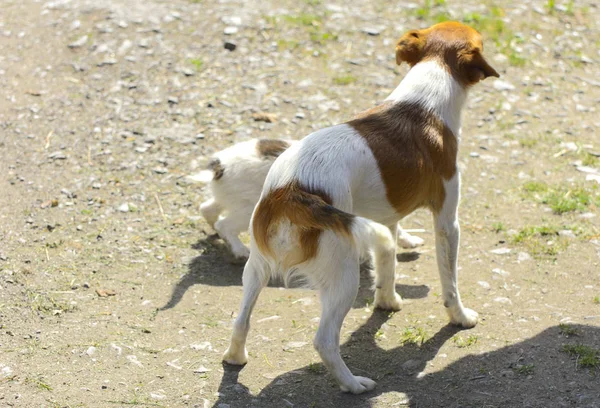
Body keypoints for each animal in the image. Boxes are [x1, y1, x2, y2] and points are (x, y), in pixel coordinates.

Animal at [195, 137, 424, 258]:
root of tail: (221, 165)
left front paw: (408, 241)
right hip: (248, 209)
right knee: (224, 224)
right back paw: (240, 250)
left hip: (230, 199)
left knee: (207, 209)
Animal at [223, 21, 500, 392]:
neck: (425, 100)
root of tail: (291, 192)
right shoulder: (446, 222)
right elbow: (450, 282)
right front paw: (460, 317)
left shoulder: (388, 220)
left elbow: (387, 265)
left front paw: (387, 302)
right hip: (343, 275)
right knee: (324, 341)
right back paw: (353, 384)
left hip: (256, 268)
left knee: (241, 320)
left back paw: (235, 357)